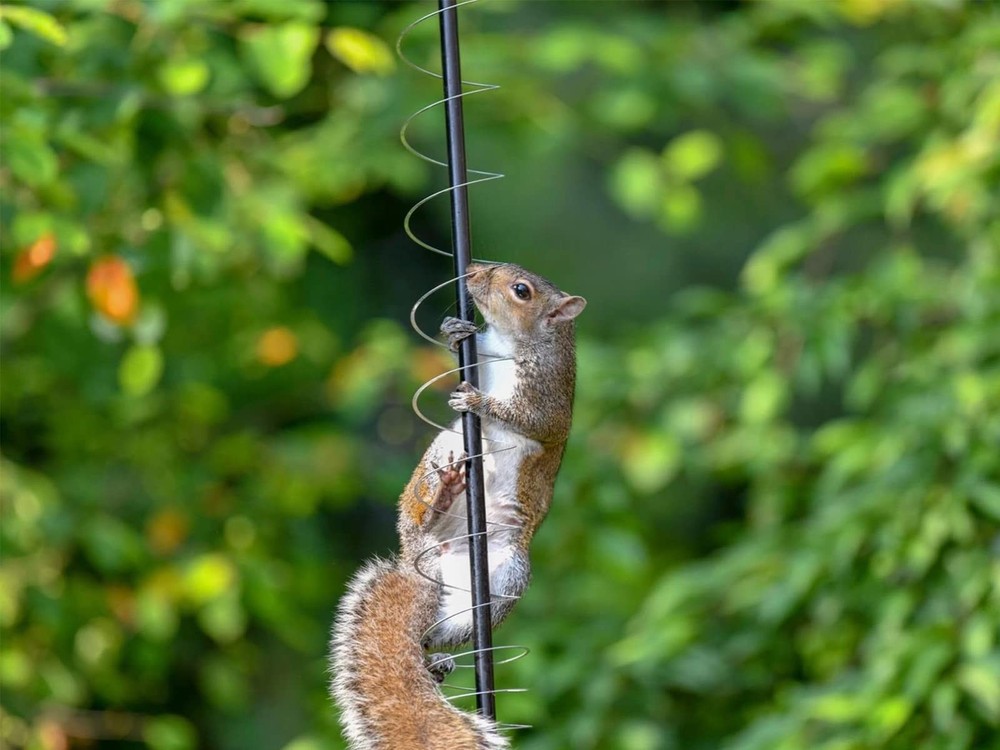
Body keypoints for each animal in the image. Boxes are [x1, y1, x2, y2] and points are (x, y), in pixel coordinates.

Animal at [330, 262, 586, 749]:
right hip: (443, 452)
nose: (472, 270)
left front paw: (479, 401)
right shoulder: (481, 357)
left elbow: (527, 419)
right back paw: (443, 497)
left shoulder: (547, 397)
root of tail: (420, 558)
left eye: (521, 290)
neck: (510, 343)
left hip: (501, 580)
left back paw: (435, 661)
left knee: (437, 635)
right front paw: (452, 331)